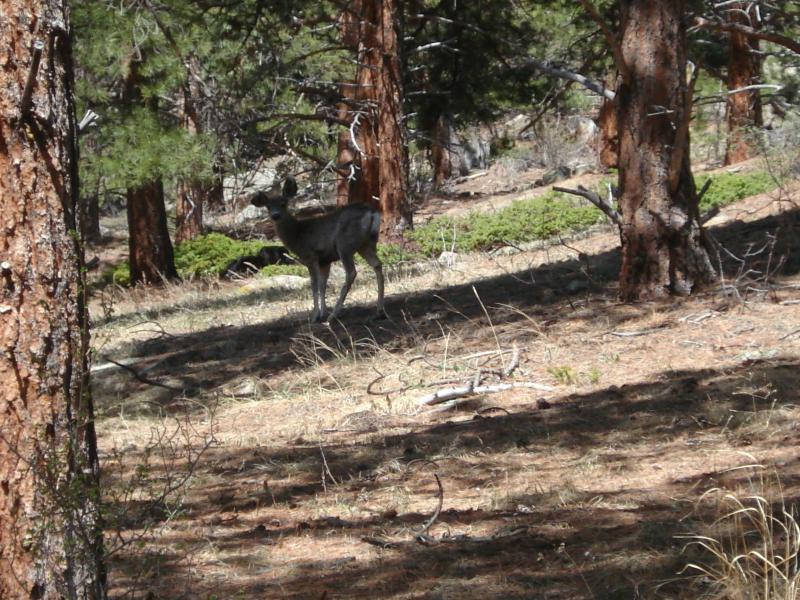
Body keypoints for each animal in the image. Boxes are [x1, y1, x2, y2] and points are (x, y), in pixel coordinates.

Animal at [251, 177, 385, 322]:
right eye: (268, 206)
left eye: (283, 203)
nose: (275, 215)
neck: (297, 234)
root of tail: (371, 213)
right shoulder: (324, 261)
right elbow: (322, 285)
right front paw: (323, 312)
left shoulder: (310, 256)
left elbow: (314, 285)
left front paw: (315, 315)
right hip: (366, 244)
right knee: (377, 264)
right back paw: (379, 311)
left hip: (345, 245)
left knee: (351, 272)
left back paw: (334, 315)